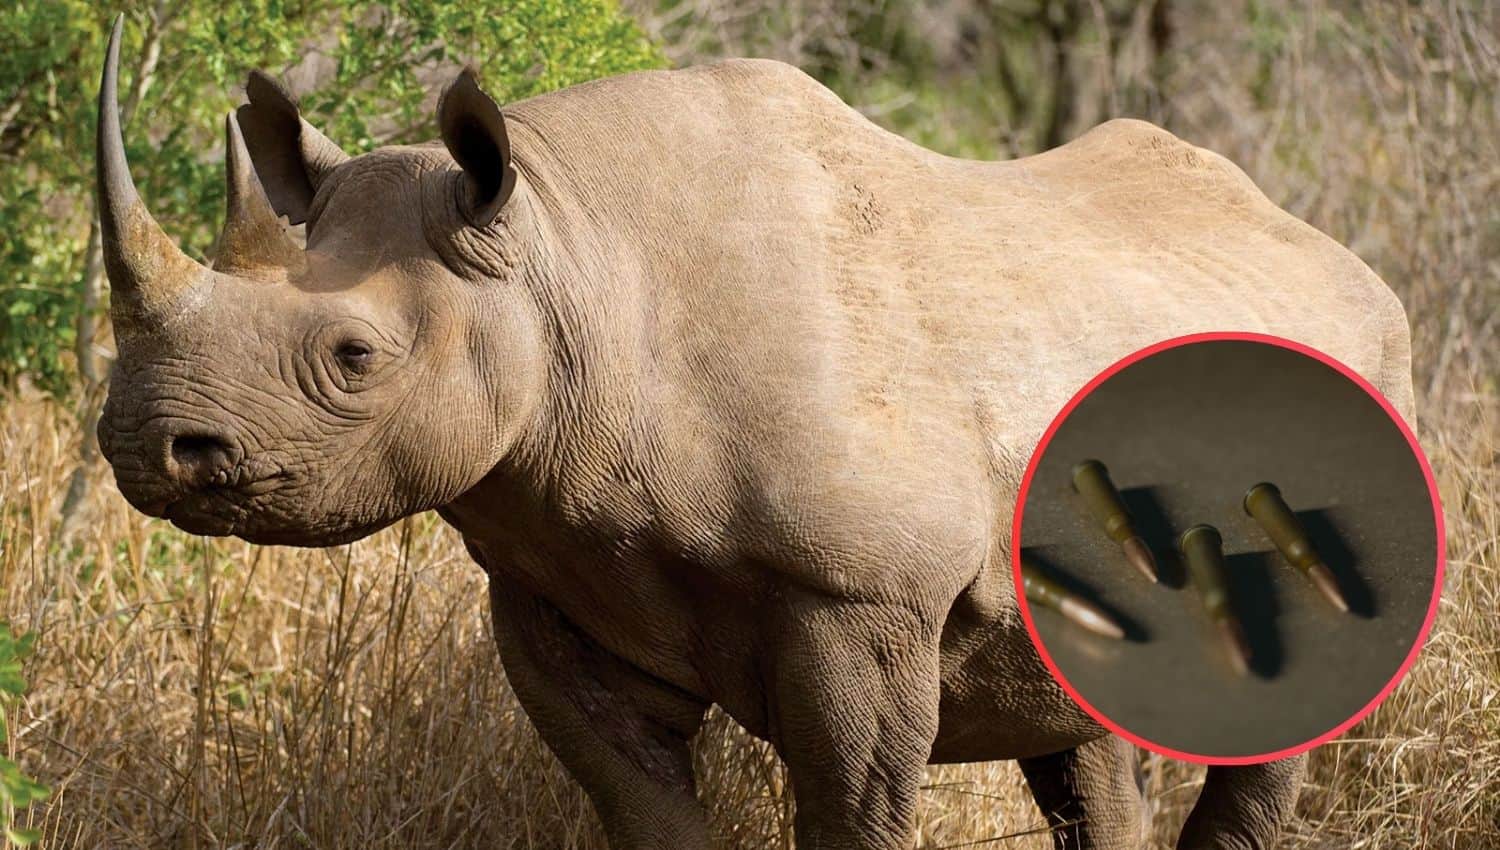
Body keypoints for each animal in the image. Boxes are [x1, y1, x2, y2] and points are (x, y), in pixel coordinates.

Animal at [94, 15, 1413, 850]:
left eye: (353, 358)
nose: (146, 448)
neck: (565, 259)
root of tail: (1337, 253)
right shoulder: (559, 585)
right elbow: (642, 808)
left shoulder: (857, 594)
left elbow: (849, 810)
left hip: (1368, 384)